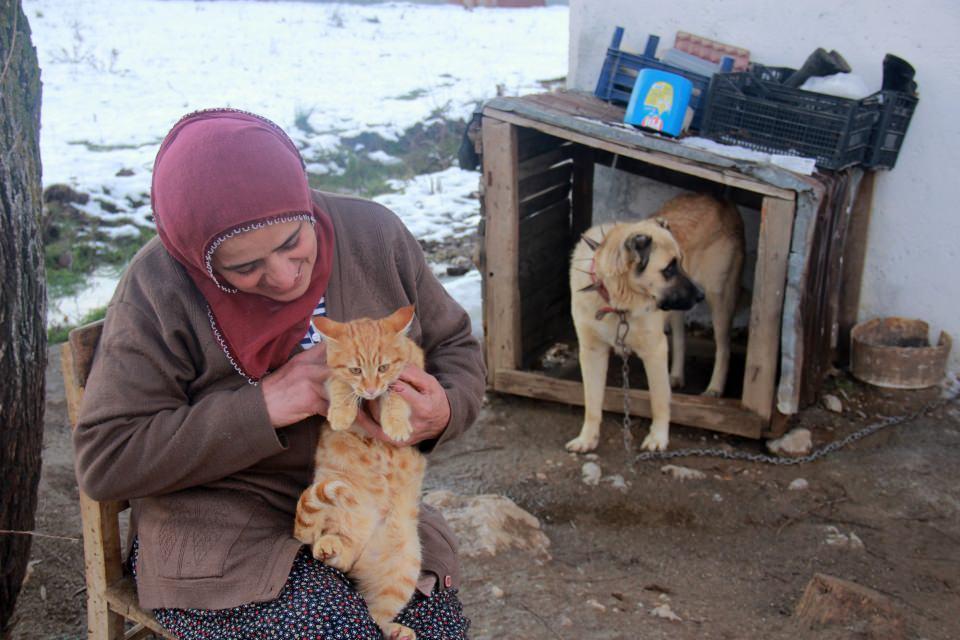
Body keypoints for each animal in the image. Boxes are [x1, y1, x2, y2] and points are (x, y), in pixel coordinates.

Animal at [294, 304, 426, 640]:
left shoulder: (414, 373)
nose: (369, 389)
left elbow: (395, 394)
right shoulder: (331, 378)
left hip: (404, 567)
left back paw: (397, 630)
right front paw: (342, 413)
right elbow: (339, 386)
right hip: (335, 510)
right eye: (355, 370)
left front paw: (395, 423)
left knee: (376, 614)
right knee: (326, 546)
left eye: (383, 367)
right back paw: (328, 545)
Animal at [568, 192, 748, 452]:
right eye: (669, 269)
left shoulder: (654, 351)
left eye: (680, 262)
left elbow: (659, 399)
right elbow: (591, 401)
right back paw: (676, 375)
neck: (616, 300)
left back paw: (715, 387)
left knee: (724, 347)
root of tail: (719, 197)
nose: (699, 296)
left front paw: (658, 438)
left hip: (720, 297)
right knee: (680, 334)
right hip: (679, 304)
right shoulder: (592, 352)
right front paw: (587, 438)